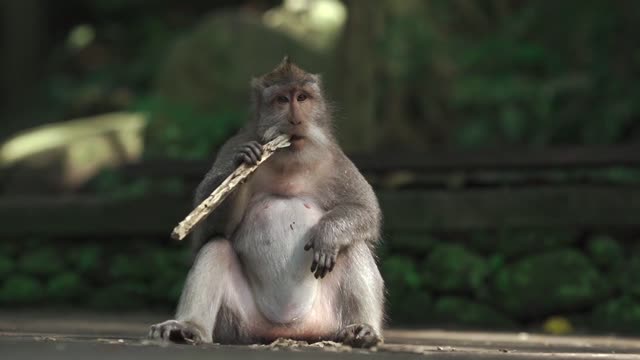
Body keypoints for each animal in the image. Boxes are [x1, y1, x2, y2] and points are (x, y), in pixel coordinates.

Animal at [148, 57, 382, 348]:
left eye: (302, 97)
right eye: (282, 99)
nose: (295, 119)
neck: (289, 160)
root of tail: (288, 332)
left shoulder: (335, 160)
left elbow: (366, 211)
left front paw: (328, 234)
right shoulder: (231, 146)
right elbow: (206, 232)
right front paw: (243, 165)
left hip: (326, 321)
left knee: (353, 246)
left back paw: (361, 329)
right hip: (238, 325)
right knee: (217, 247)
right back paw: (189, 327)